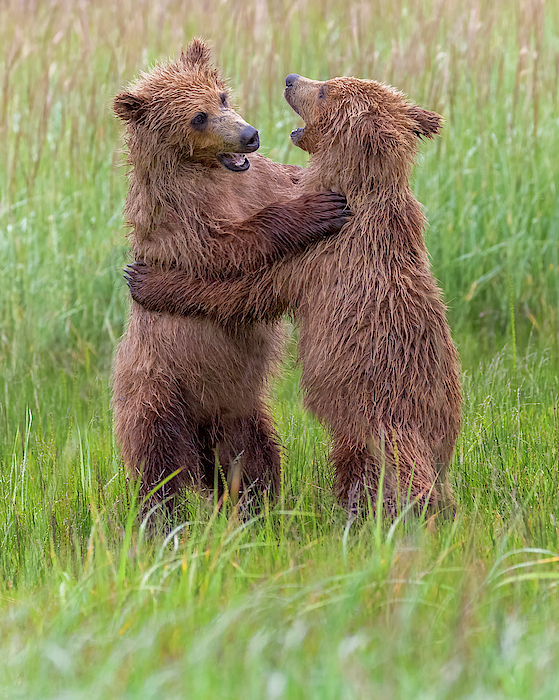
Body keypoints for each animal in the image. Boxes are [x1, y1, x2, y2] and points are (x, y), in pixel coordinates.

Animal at [111, 39, 348, 504]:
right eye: (197, 116)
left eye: (221, 97)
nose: (249, 135)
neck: (208, 172)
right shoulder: (179, 221)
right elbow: (228, 249)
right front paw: (317, 210)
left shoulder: (256, 182)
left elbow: (282, 182)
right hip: (156, 389)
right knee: (159, 464)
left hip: (239, 408)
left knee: (254, 457)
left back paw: (259, 504)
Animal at [128, 72, 464, 516]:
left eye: (323, 90)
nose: (290, 79)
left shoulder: (314, 258)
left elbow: (245, 291)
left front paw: (147, 280)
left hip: (373, 416)